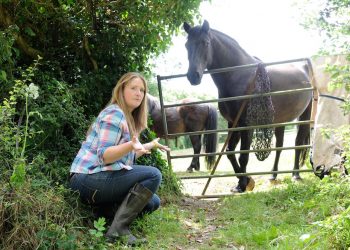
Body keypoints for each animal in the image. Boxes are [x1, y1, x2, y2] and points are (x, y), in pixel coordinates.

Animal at [183, 21, 312, 193]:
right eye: (186, 45)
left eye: (206, 43)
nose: (193, 76)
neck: (239, 75)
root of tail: (305, 67)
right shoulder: (234, 123)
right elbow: (230, 152)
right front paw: (243, 181)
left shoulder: (246, 124)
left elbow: (243, 155)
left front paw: (244, 183)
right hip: (280, 120)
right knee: (279, 146)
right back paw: (273, 175)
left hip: (305, 115)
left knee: (298, 143)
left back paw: (295, 174)